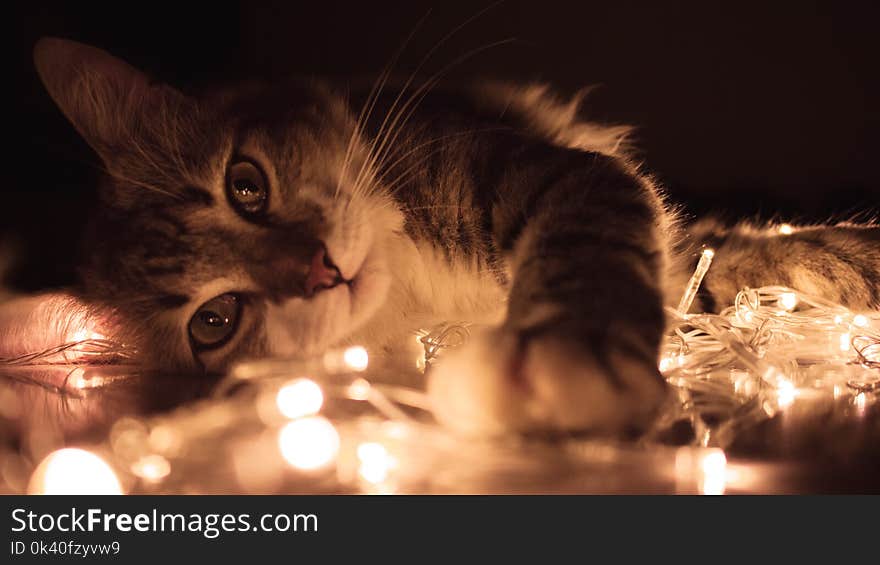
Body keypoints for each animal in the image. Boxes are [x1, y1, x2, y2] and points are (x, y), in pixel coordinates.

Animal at [10, 37, 876, 438]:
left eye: (245, 185)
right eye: (213, 322)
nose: (320, 271)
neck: (409, 286)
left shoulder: (560, 176)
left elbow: (727, 252)